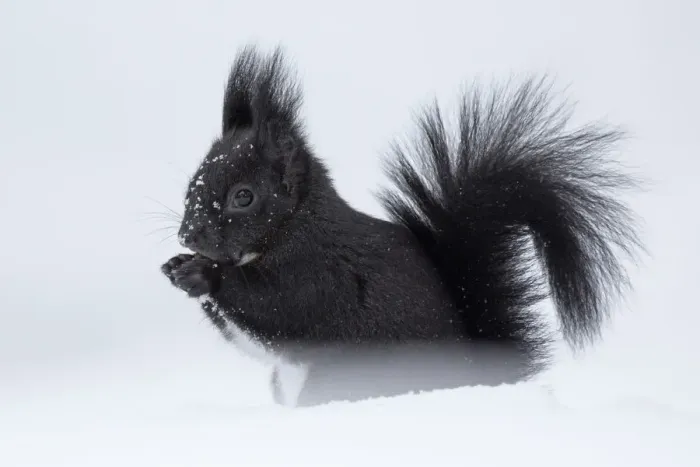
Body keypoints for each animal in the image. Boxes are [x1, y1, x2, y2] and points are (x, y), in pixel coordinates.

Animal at [161, 45, 642, 407]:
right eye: (193, 181)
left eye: (244, 196)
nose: (188, 235)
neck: (294, 227)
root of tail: (472, 379)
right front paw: (177, 266)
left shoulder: (323, 276)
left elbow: (277, 308)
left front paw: (204, 274)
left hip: (346, 376)